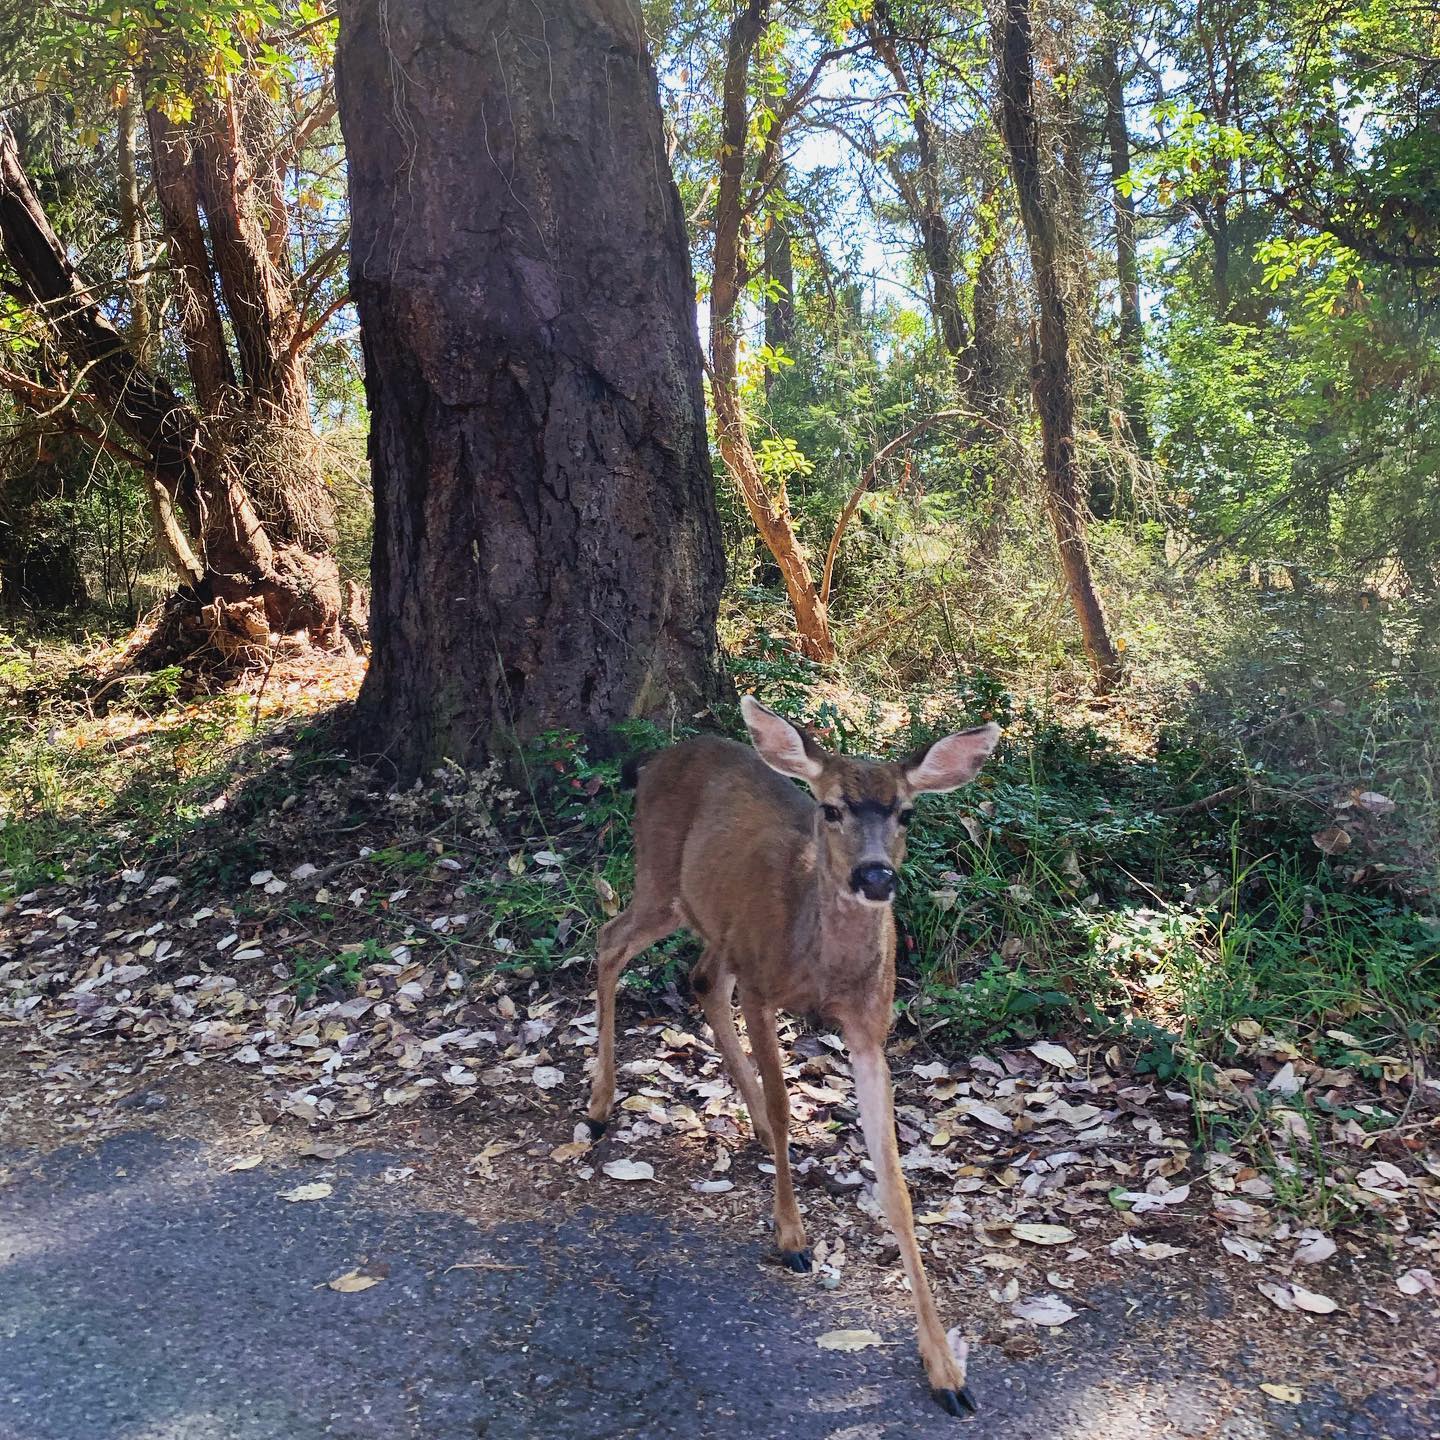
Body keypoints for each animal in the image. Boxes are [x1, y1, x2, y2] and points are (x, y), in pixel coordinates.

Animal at [584, 696, 1002, 1416]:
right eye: (830, 808)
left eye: (906, 812)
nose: (876, 877)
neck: (822, 965)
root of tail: (659, 756)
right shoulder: (762, 987)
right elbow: (785, 1108)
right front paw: (791, 1238)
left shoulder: (870, 1026)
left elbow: (894, 1183)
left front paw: (946, 1370)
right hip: (660, 877)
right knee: (611, 942)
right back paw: (601, 1102)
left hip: (711, 917)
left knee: (699, 977)